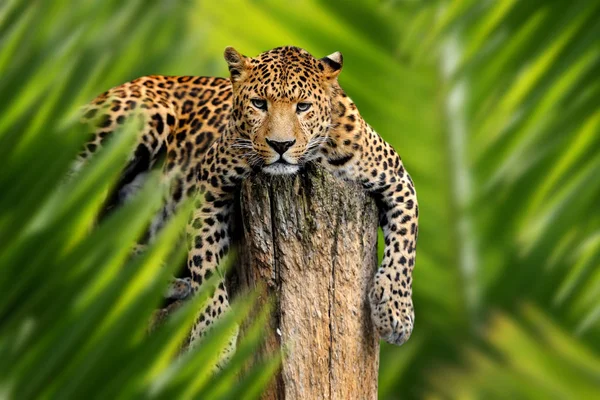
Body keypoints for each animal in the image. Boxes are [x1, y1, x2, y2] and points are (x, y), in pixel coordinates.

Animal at [78, 45, 418, 358]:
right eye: (259, 103)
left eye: (303, 106)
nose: (281, 145)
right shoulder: (208, 185)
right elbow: (206, 262)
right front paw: (212, 340)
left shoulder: (397, 178)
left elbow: (405, 247)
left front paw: (396, 312)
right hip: (140, 118)